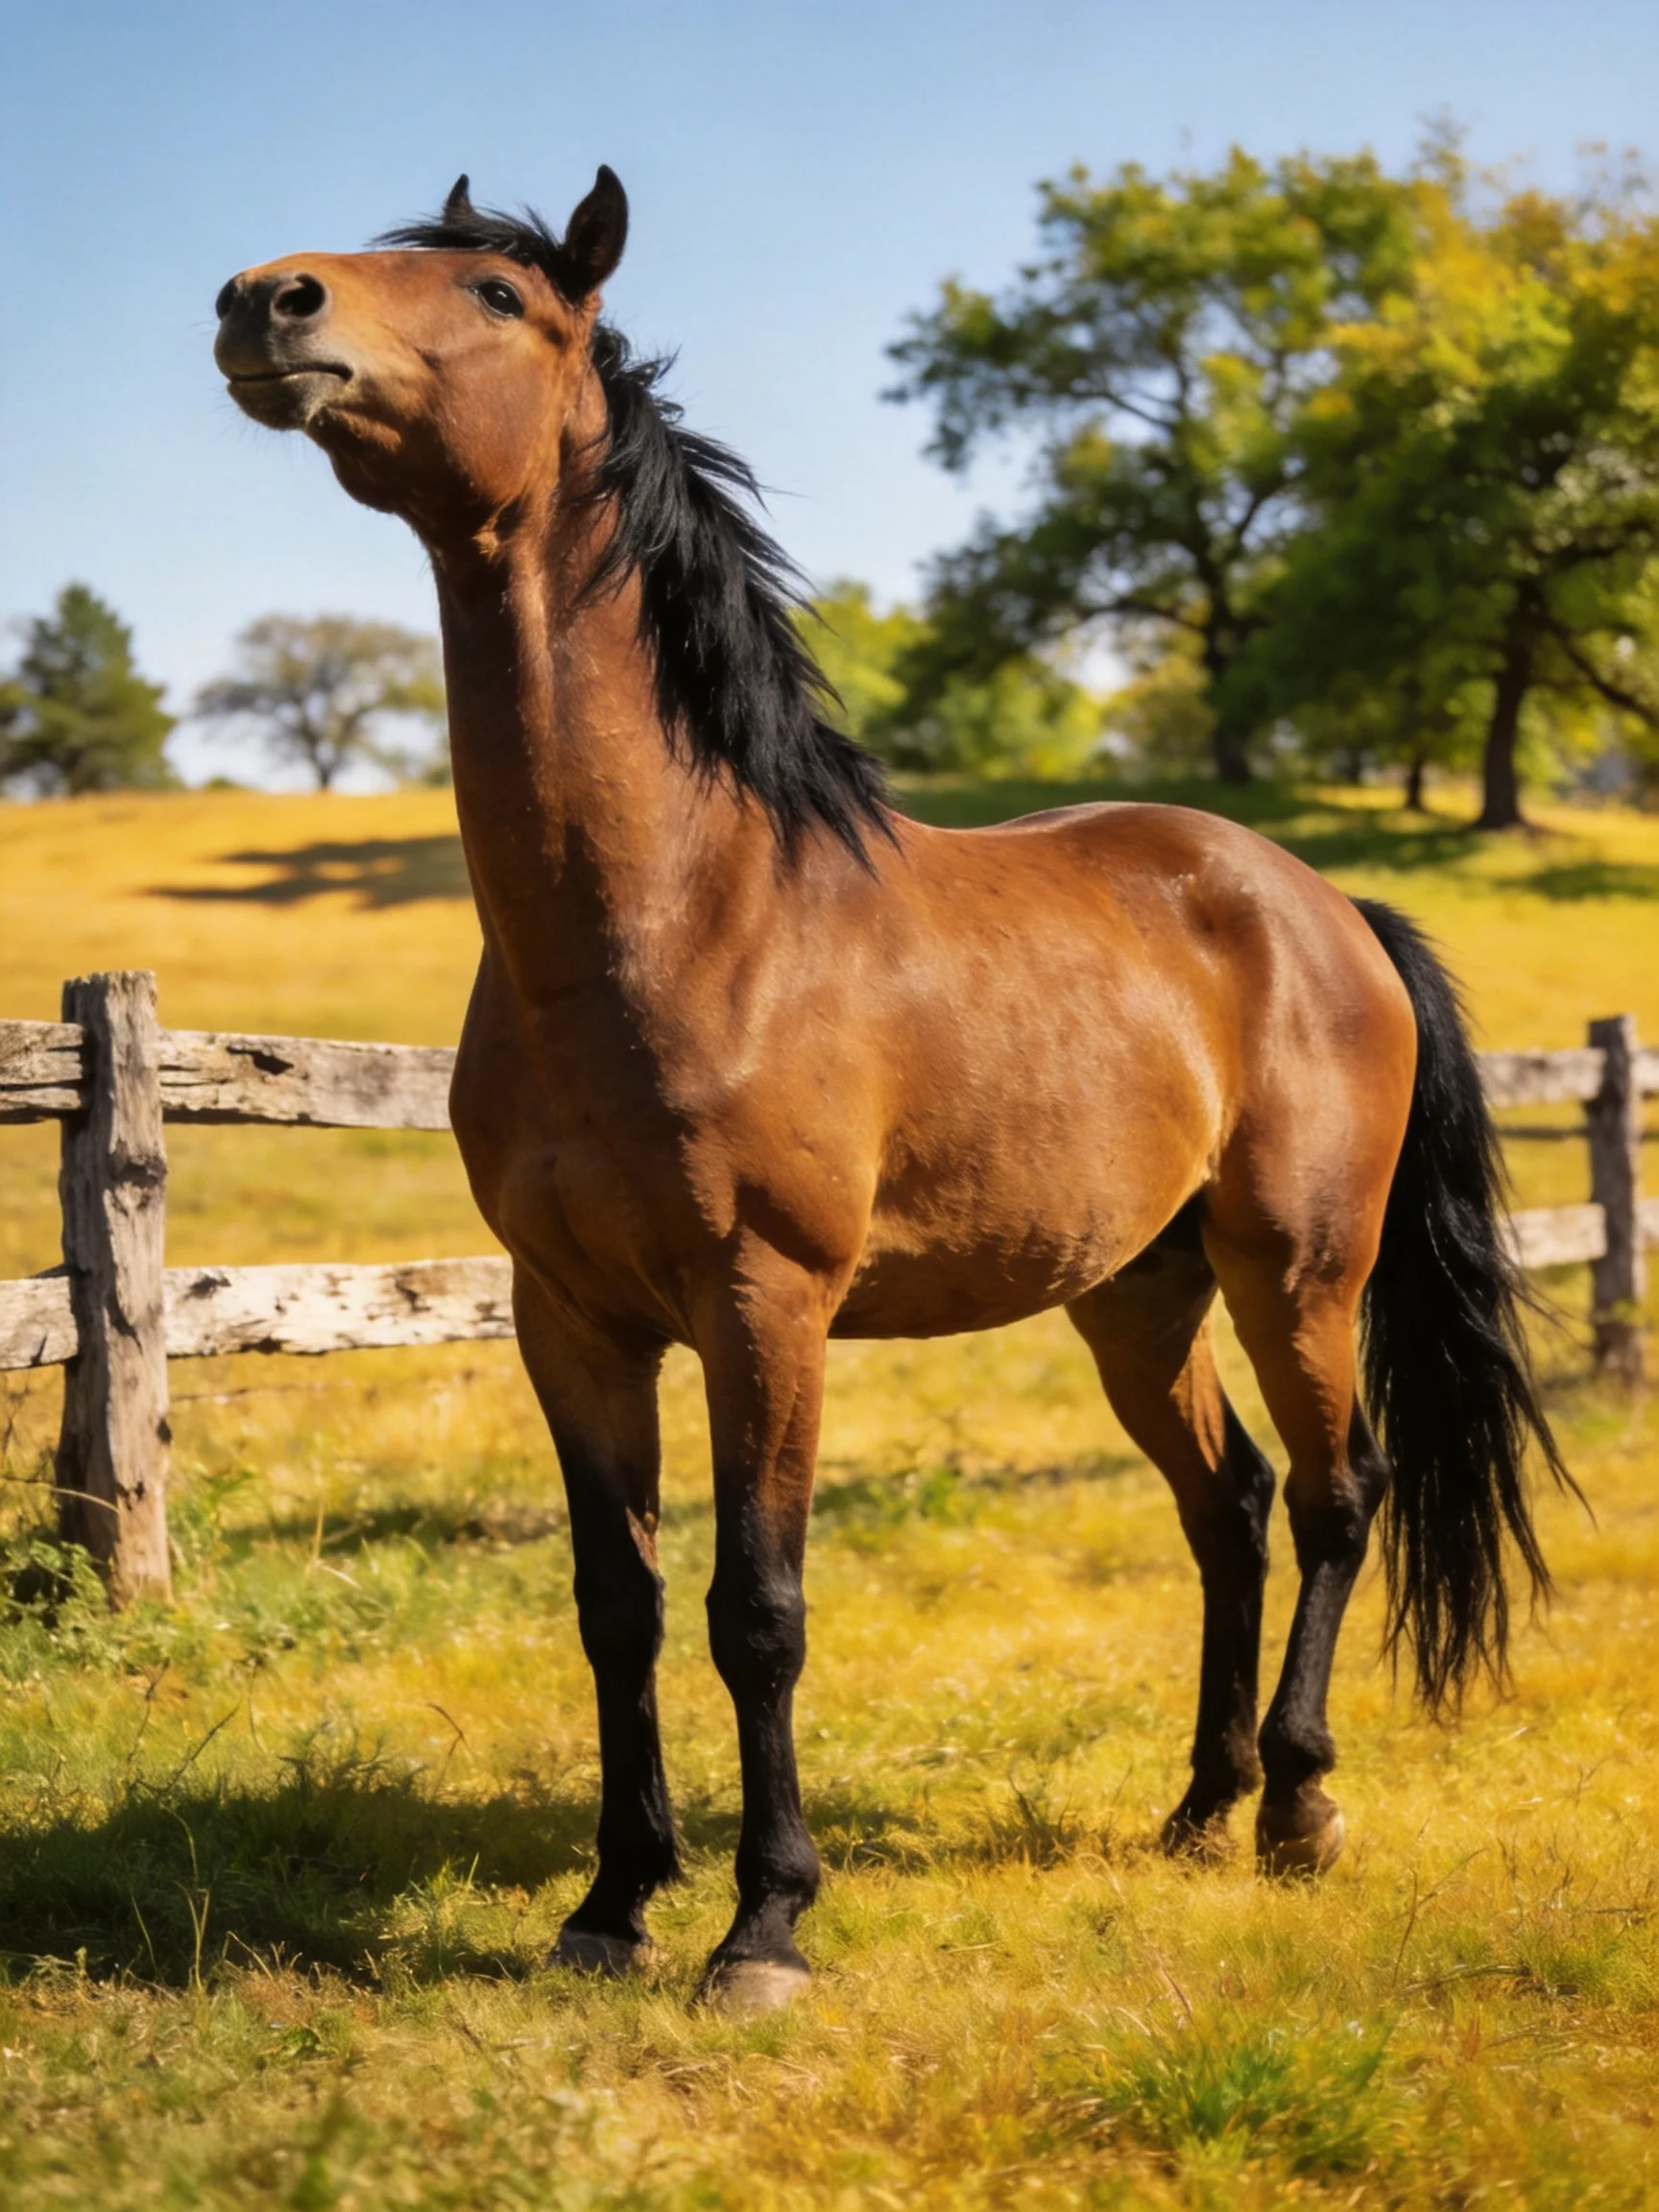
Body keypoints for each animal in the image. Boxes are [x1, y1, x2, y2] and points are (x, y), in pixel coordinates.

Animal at [213, 169, 1566, 2016]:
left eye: (498, 294)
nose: (262, 303)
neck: (685, 916)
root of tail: (1317, 902)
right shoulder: (569, 1318)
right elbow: (618, 1604)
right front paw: (611, 1902)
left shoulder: (763, 1305)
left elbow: (757, 1608)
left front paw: (763, 1923)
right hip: (1135, 1295)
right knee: (1223, 1508)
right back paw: (1197, 1807)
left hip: (1295, 1269)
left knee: (1334, 1496)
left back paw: (1297, 1806)